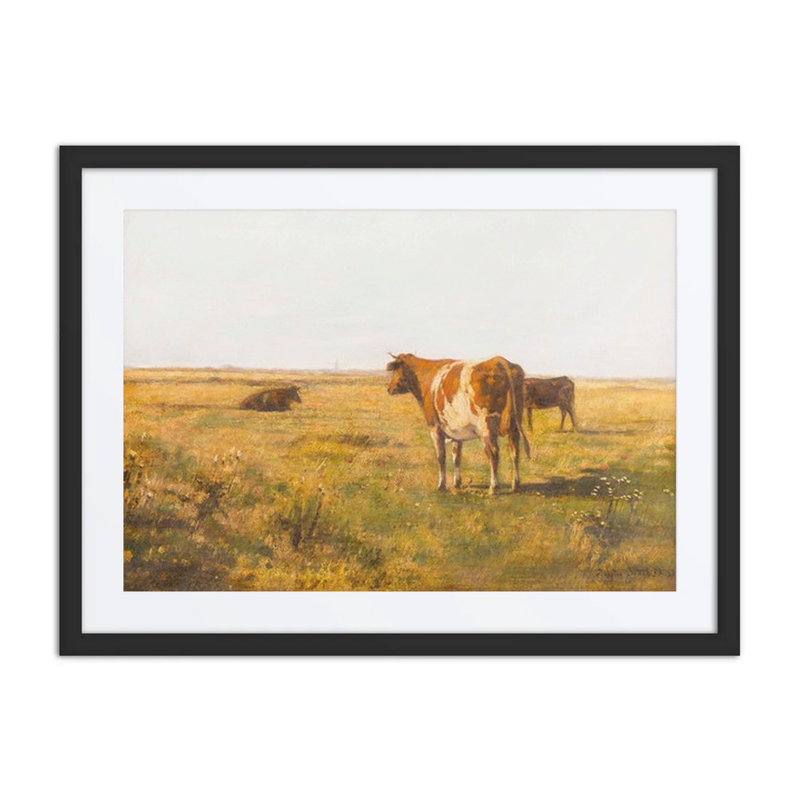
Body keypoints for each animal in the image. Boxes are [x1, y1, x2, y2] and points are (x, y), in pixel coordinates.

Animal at [386, 353, 530, 494]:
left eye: (396, 370)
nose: (389, 389)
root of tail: (498, 360)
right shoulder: (456, 431)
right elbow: (456, 456)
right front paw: (457, 483)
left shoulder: (435, 428)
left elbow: (441, 456)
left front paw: (441, 485)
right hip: (514, 426)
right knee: (514, 452)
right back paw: (515, 485)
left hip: (486, 428)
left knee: (493, 453)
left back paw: (493, 487)